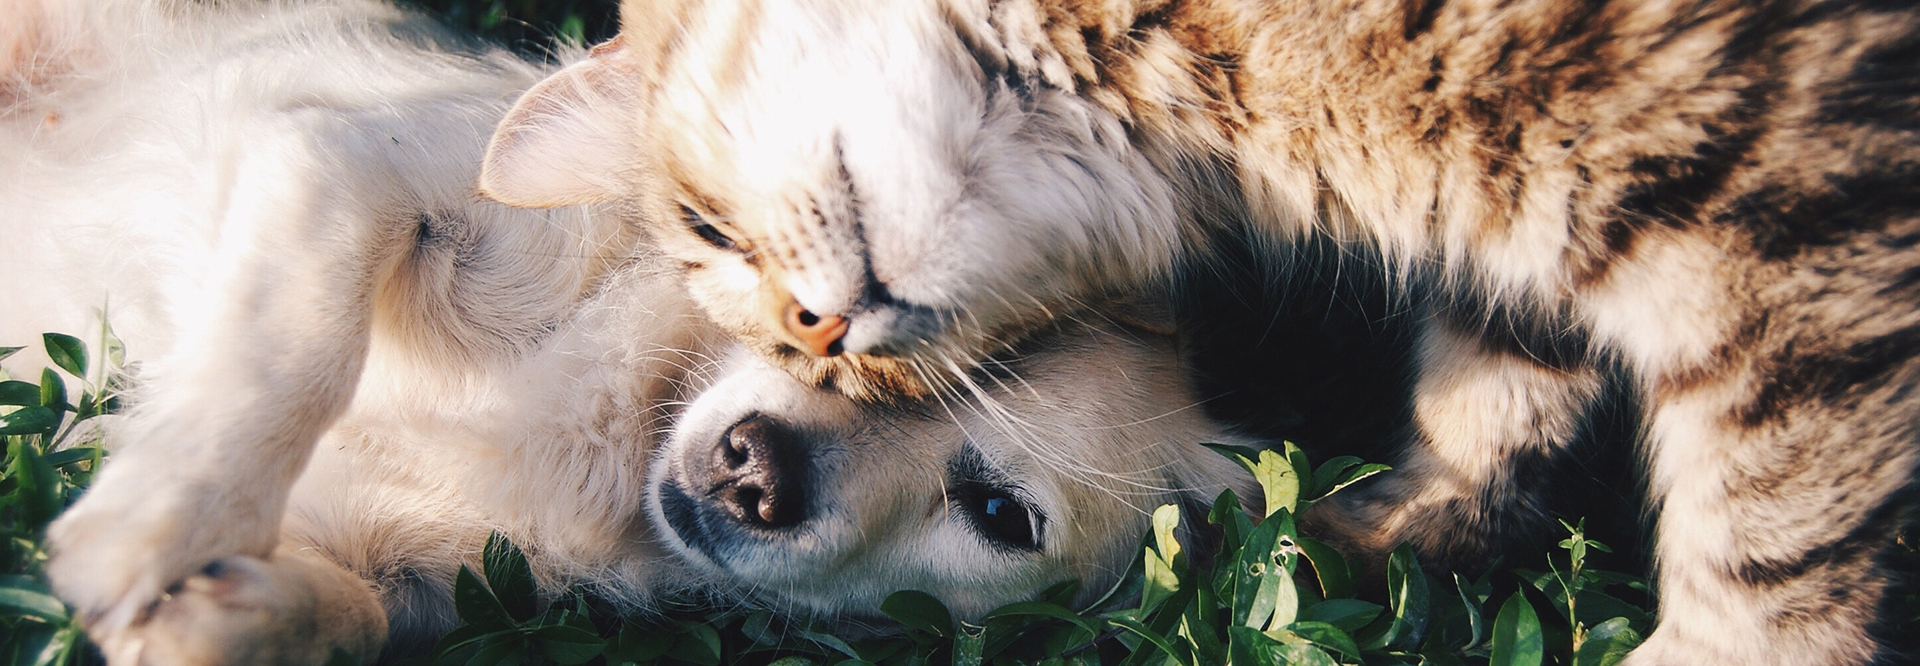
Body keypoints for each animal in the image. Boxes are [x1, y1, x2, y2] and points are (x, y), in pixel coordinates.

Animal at [3, 2, 1259, 664]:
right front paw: (154, 523)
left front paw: (219, 616)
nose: (757, 471)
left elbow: (349, 615)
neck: (623, 431)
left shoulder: (413, 582)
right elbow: (291, 351)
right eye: (820, 328)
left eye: (999, 516)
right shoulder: (346, 163)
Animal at [476, 2, 1920, 664]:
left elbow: (1774, 544)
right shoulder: (1530, 228)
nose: (821, 336)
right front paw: (1371, 538)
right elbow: (1491, 400)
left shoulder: (1786, 204)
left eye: (704, 230)